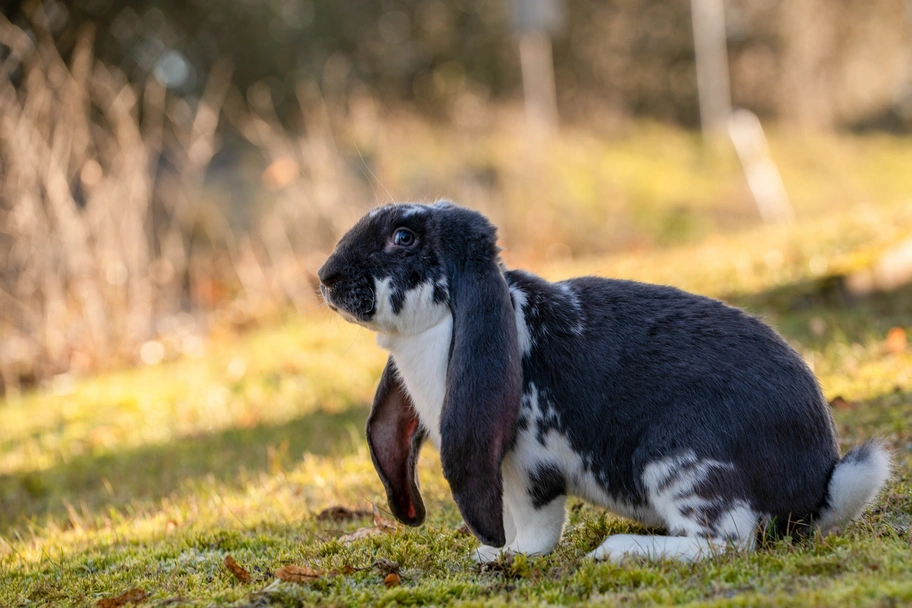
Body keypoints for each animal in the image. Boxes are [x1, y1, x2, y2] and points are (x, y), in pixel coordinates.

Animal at [317, 201, 891, 563]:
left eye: (404, 237)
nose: (325, 276)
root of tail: (817, 487)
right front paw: (489, 550)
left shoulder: (527, 467)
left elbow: (535, 527)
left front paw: (502, 555)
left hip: (676, 462)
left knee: (728, 542)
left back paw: (619, 551)